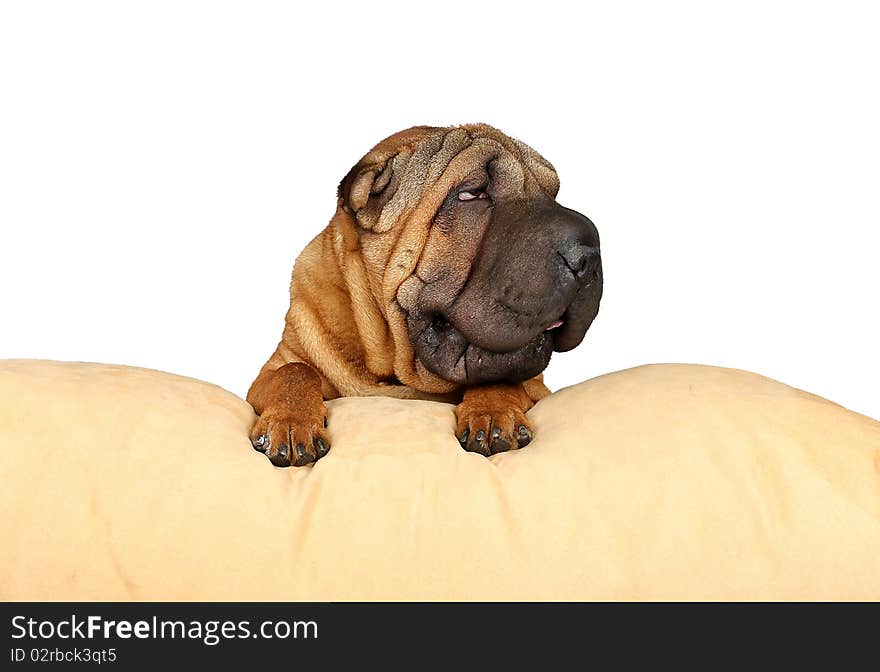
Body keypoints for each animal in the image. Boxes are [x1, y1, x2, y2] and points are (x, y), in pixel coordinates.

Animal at [251, 122, 600, 468]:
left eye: (552, 193)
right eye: (472, 193)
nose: (588, 252)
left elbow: (500, 377)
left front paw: (492, 415)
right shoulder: (275, 367)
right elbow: (294, 371)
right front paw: (290, 424)